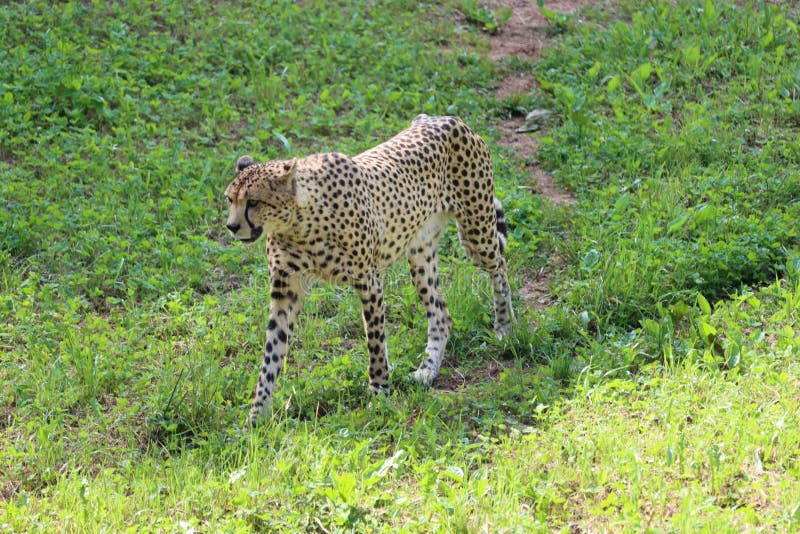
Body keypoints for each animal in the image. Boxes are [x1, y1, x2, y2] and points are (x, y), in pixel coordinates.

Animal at [224, 114, 515, 426]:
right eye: (230, 199)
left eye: (254, 202)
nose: (232, 226)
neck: (298, 223)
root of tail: (443, 118)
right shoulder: (284, 290)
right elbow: (271, 355)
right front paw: (256, 415)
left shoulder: (369, 281)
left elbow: (375, 344)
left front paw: (379, 393)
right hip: (420, 255)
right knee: (441, 315)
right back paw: (427, 370)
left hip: (476, 233)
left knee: (500, 267)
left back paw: (504, 327)